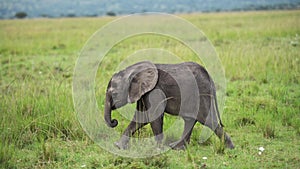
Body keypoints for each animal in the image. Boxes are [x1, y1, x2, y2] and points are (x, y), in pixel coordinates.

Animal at [103, 60, 234, 149]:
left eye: (114, 93)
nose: (114, 121)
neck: (133, 71)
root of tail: (209, 77)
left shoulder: (155, 90)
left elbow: (153, 116)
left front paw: (157, 150)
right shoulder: (143, 93)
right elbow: (141, 118)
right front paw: (118, 146)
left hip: (201, 93)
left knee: (207, 120)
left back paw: (229, 148)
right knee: (190, 119)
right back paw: (176, 147)